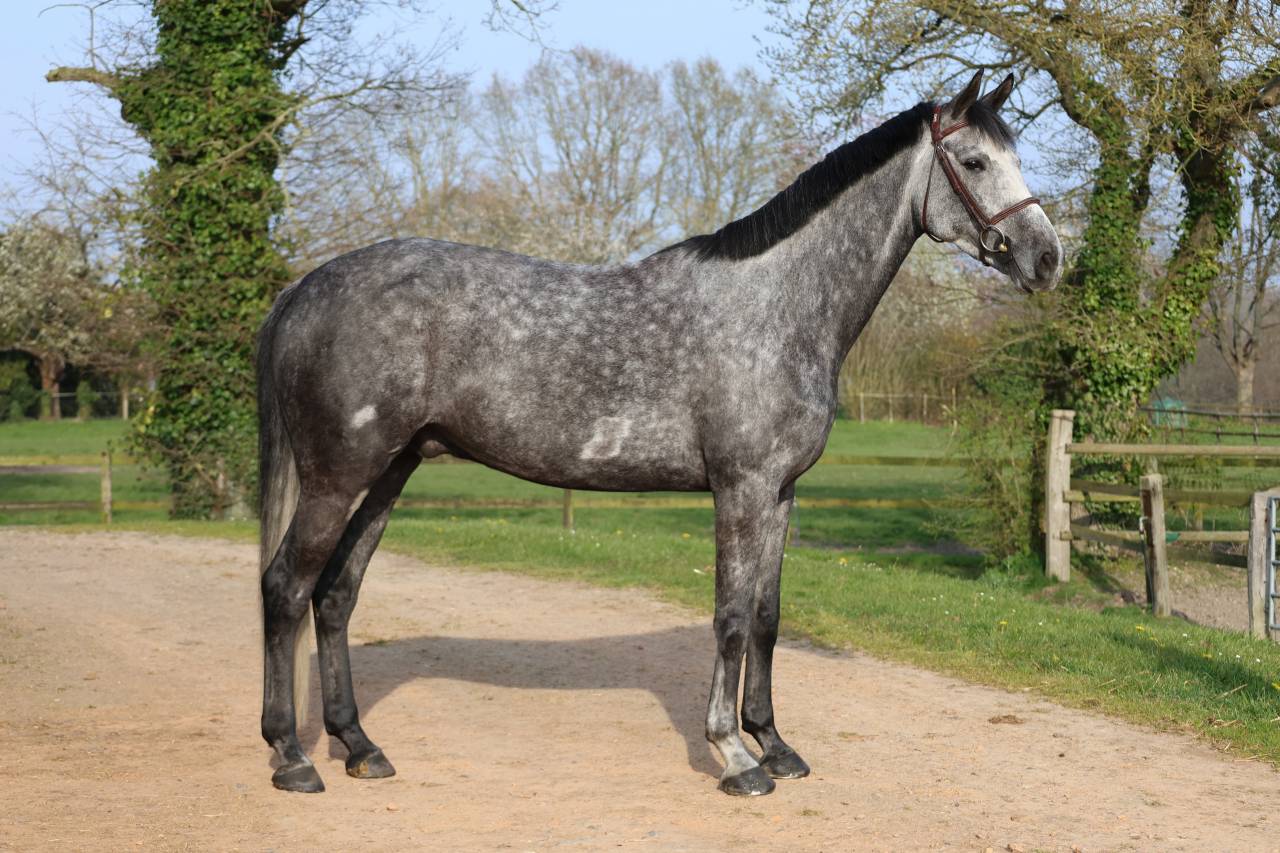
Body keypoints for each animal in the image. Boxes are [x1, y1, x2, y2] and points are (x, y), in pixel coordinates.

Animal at [256, 70, 1062, 797]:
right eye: (975, 161)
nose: (1048, 258)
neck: (777, 307)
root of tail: (306, 288)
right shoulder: (740, 488)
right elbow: (730, 618)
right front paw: (734, 757)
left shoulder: (780, 494)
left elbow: (766, 618)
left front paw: (775, 745)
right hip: (338, 476)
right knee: (286, 588)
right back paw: (291, 757)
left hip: (389, 471)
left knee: (336, 595)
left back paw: (359, 746)